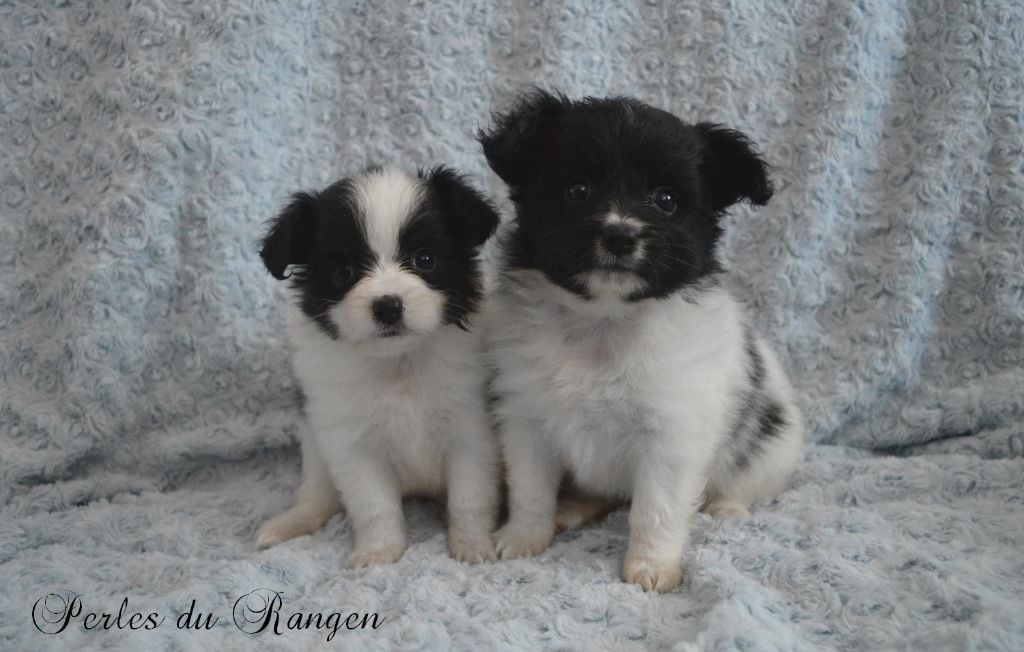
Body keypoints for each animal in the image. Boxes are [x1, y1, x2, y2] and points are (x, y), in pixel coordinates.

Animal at [251, 164, 499, 569]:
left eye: (425, 260)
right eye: (342, 271)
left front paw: (473, 546)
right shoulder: (352, 446)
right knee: (317, 494)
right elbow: (373, 505)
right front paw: (378, 553)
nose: (387, 306)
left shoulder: (471, 431)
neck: (398, 363)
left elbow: (470, 498)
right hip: (314, 447)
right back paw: (289, 523)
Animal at [479, 91, 806, 589]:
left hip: (773, 447)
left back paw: (725, 507)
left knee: (747, 484)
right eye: (577, 190)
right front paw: (522, 538)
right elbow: (530, 490)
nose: (620, 234)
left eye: (665, 200)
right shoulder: (526, 420)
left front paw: (652, 567)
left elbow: (656, 509)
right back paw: (572, 510)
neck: (604, 320)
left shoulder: (672, 435)